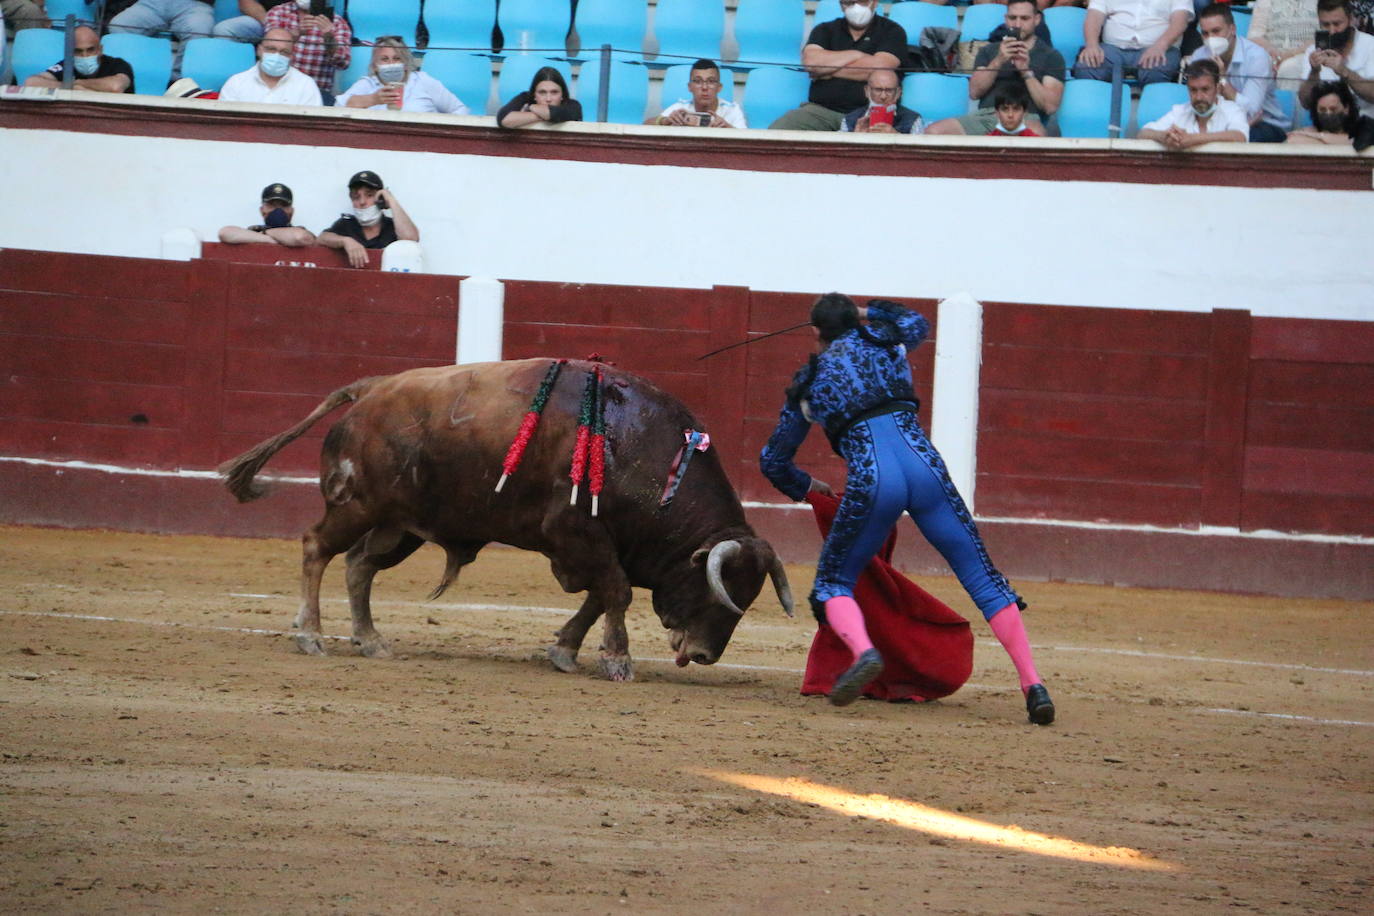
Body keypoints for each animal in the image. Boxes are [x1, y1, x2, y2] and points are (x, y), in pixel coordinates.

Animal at [223, 357, 796, 681]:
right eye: (718, 590)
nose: (704, 655)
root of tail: (369, 390)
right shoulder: (576, 533)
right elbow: (614, 593)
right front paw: (616, 660)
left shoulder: (606, 545)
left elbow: (600, 597)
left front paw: (565, 650)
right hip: (356, 505)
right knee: (316, 548)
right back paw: (311, 636)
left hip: (399, 525)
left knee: (359, 566)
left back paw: (371, 640)